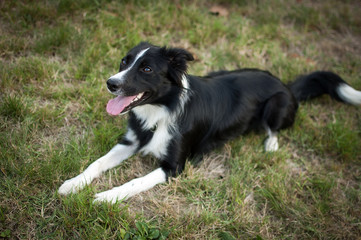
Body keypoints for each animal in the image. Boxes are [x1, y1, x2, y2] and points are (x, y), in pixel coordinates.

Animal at [59, 41, 360, 202]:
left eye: (146, 68)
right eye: (124, 61)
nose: (110, 83)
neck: (160, 111)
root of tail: (286, 85)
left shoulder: (175, 167)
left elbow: (136, 181)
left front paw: (108, 197)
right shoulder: (131, 141)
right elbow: (97, 163)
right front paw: (73, 184)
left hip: (277, 105)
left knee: (273, 129)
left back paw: (271, 146)